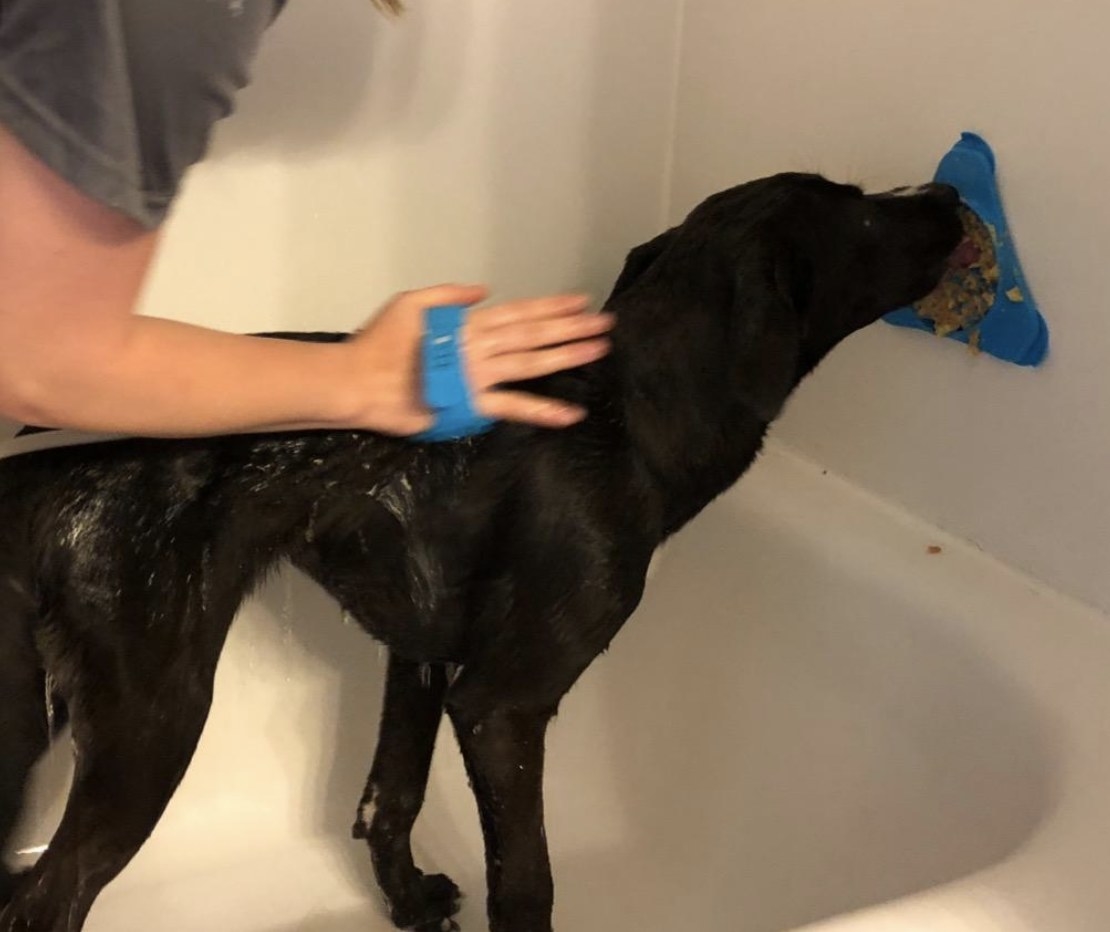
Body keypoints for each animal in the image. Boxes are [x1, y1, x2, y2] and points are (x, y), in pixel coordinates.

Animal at [0, 175, 967, 932]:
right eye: (862, 213)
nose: (951, 194)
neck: (626, 412)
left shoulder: (421, 656)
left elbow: (390, 798)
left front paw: (409, 904)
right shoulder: (502, 705)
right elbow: (529, 880)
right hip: (154, 718)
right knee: (49, 898)